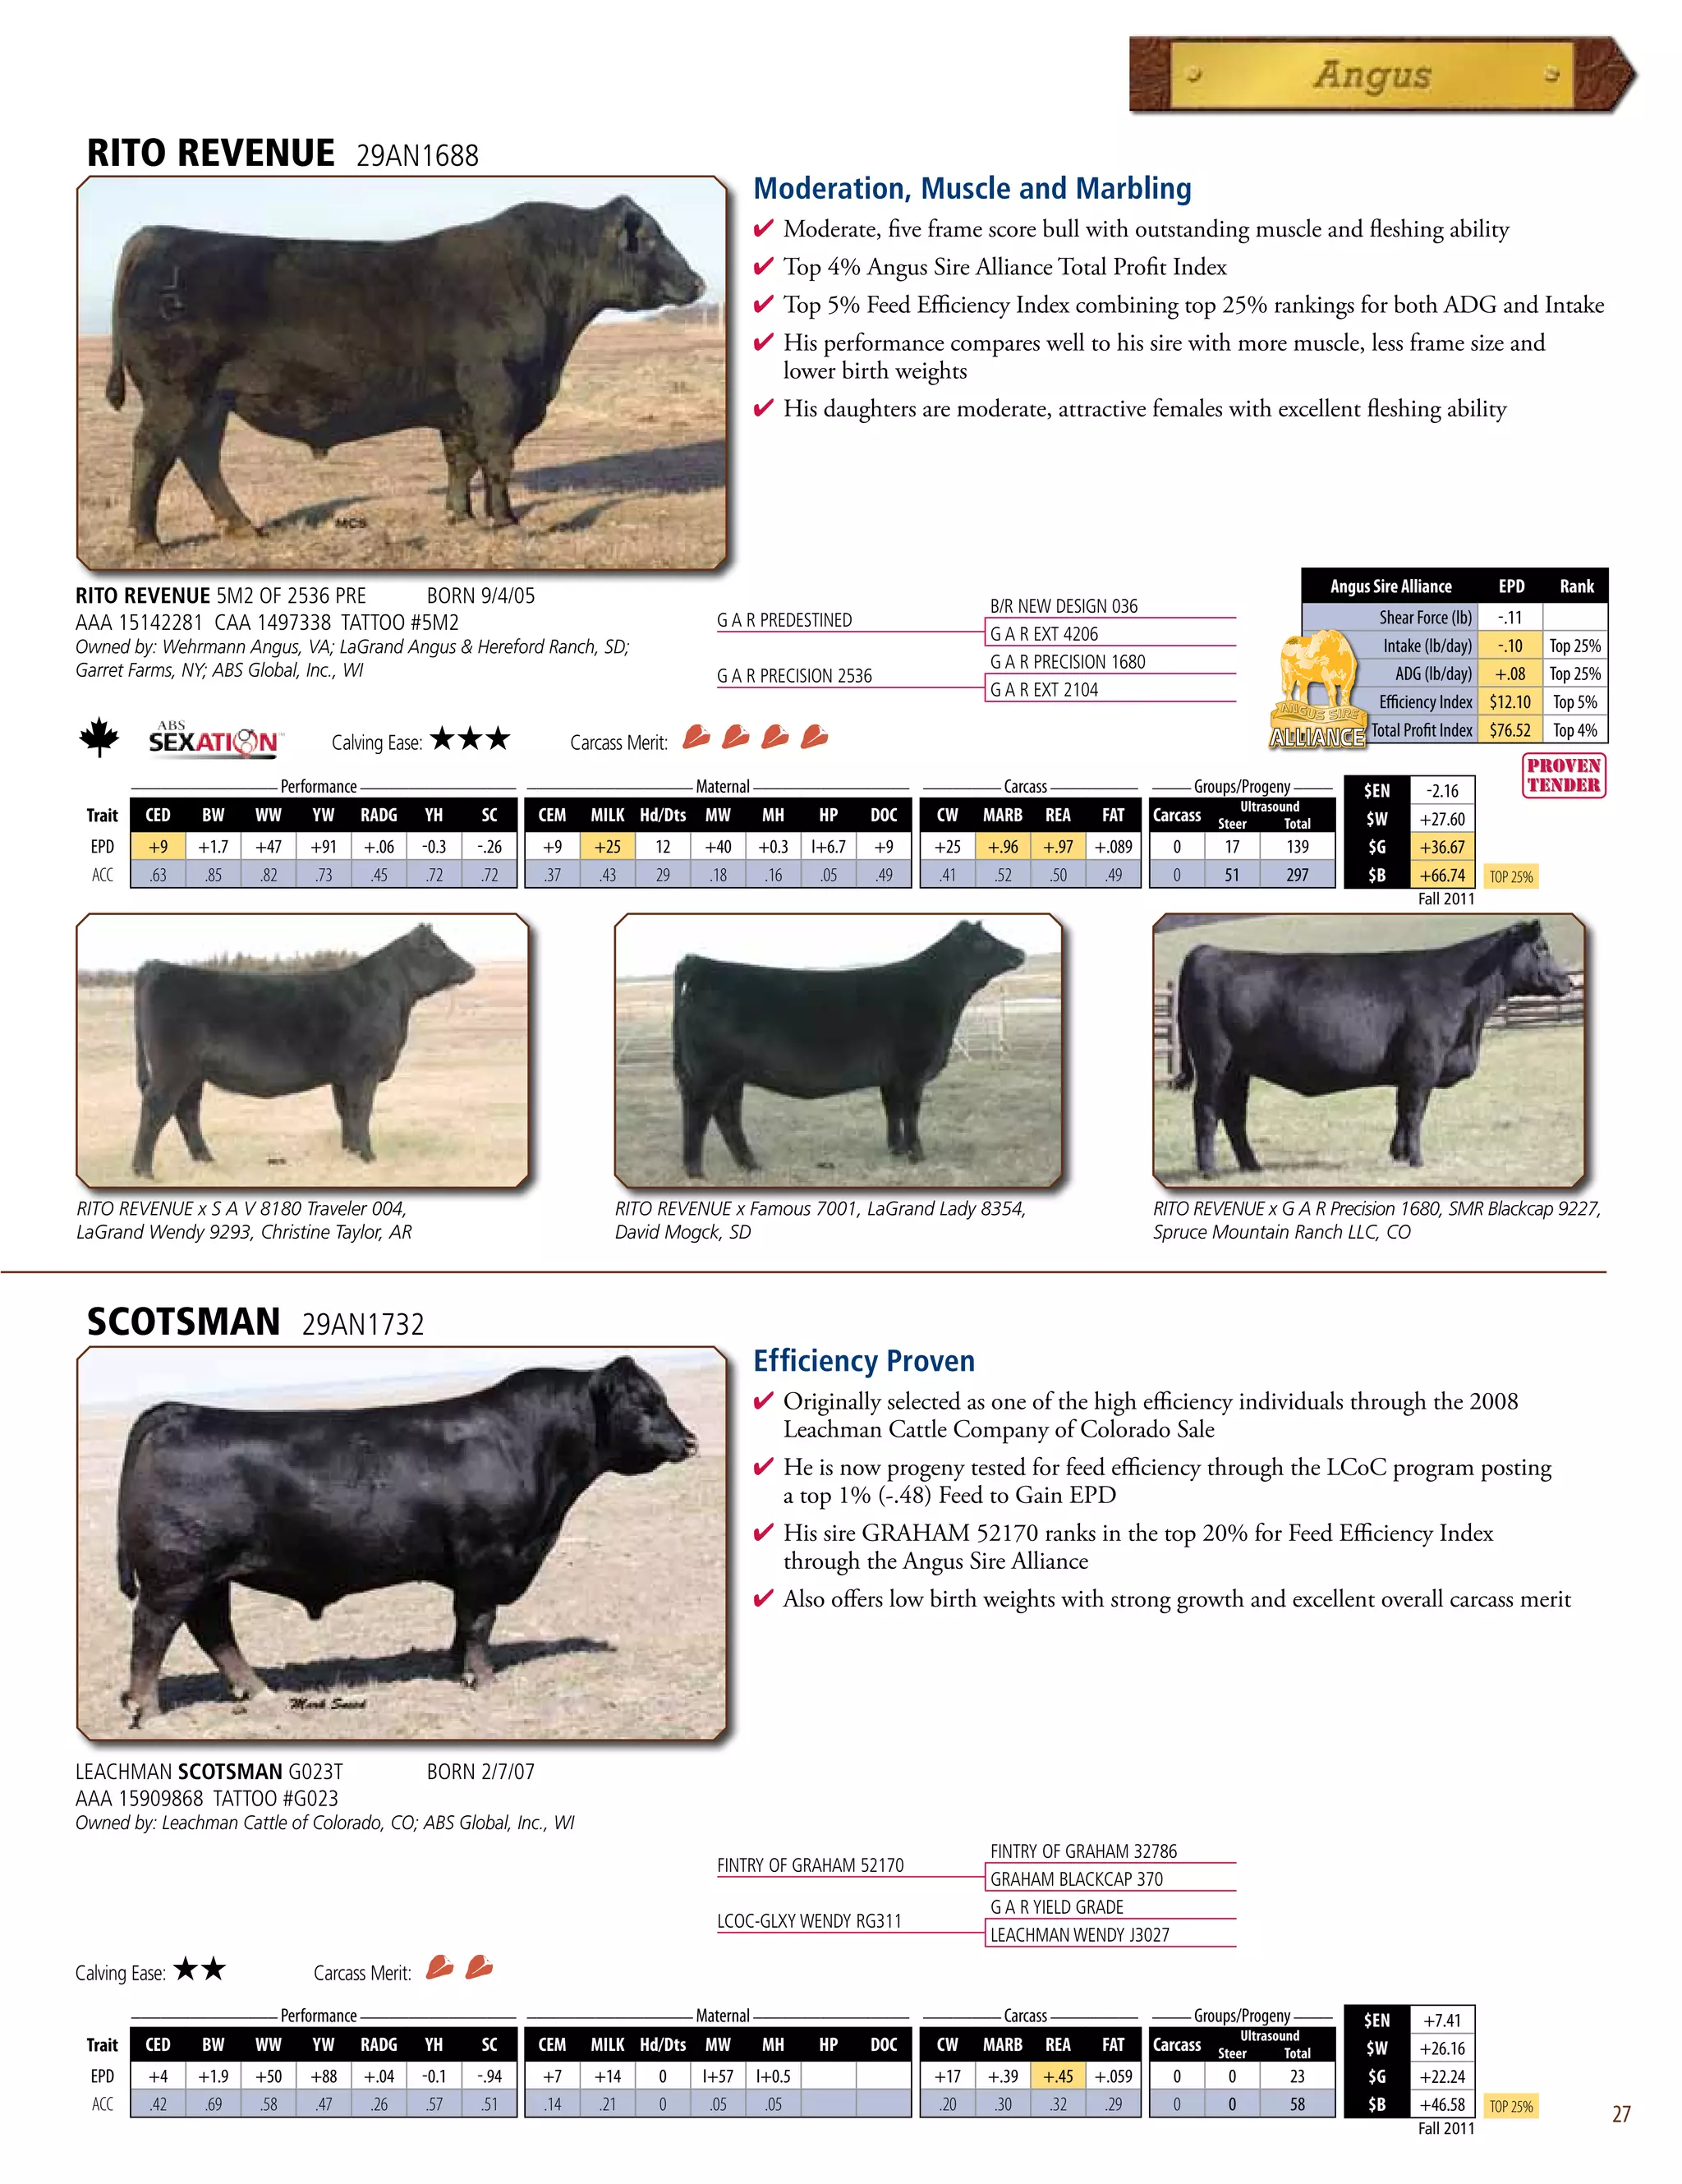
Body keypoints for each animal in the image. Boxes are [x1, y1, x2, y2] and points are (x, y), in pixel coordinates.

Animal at [104, 197, 706, 546]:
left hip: (211, 399)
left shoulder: (459, 404)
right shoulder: (497, 393)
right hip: (177, 391)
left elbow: (460, 460)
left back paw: (241, 527)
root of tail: (157, 233)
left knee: (199, 454)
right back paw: (146, 539)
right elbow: (498, 459)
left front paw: (460, 517)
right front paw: (506, 521)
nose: (699, 283)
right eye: (652, 237)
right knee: (154, 450)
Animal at [115, 1358, 699, 1725]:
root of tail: (180, 1410)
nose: (690, 1441)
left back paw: (257, 1692)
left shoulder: (474, 1568)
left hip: (210, 1577)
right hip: (176, 1574)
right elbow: (480, 1620)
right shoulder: (487, 1556)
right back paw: (148, 1709)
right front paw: (482, 1679)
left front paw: (455, 1668)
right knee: (154, 1632)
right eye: (645, 1402)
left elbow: (464, 1623)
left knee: (214, 1630)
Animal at [130, 923, 475, 1178]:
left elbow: (345, 1111)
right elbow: (362, 1108)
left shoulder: (343, 1075)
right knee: (156, 1108)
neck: (392, 997)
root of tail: (156, 966)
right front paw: (368, 1156)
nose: (471, 968)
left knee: (187, 1111)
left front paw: (350, 1152)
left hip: (193, 1073)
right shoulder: (365, 1068)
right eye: (439, 947)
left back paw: (206, 1160)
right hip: (173, 1067)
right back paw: (143, 1171)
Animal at [671, 920, 1027, 1176]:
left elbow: (892, 1111)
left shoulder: (891, 1076)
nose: (1021, 952)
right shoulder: (912, 1070)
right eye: (985, 942)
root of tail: (701, 964)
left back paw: (750, 1166)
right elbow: (911, 1113)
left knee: (727, 1116)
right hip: (710, 1074)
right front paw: (917, 1155)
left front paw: (896, 1151)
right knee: (698, 1114)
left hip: (733, 1077)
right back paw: (696, 1171)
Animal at [1172, 921, 1574, 1174]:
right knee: (1205, 1110)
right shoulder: (1423, 1063)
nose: (1568, 982)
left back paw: (1252, 1167)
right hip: (1214, 1061)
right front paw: (1415, 1160)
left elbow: (1402, 1111)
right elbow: (1414, 1111)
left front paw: (1397, 1154)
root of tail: (1208, 951)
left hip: (1238, 1067)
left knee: (1234, 1114)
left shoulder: (1409, 1071)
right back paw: (1209, 1170)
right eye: (1541, 948)